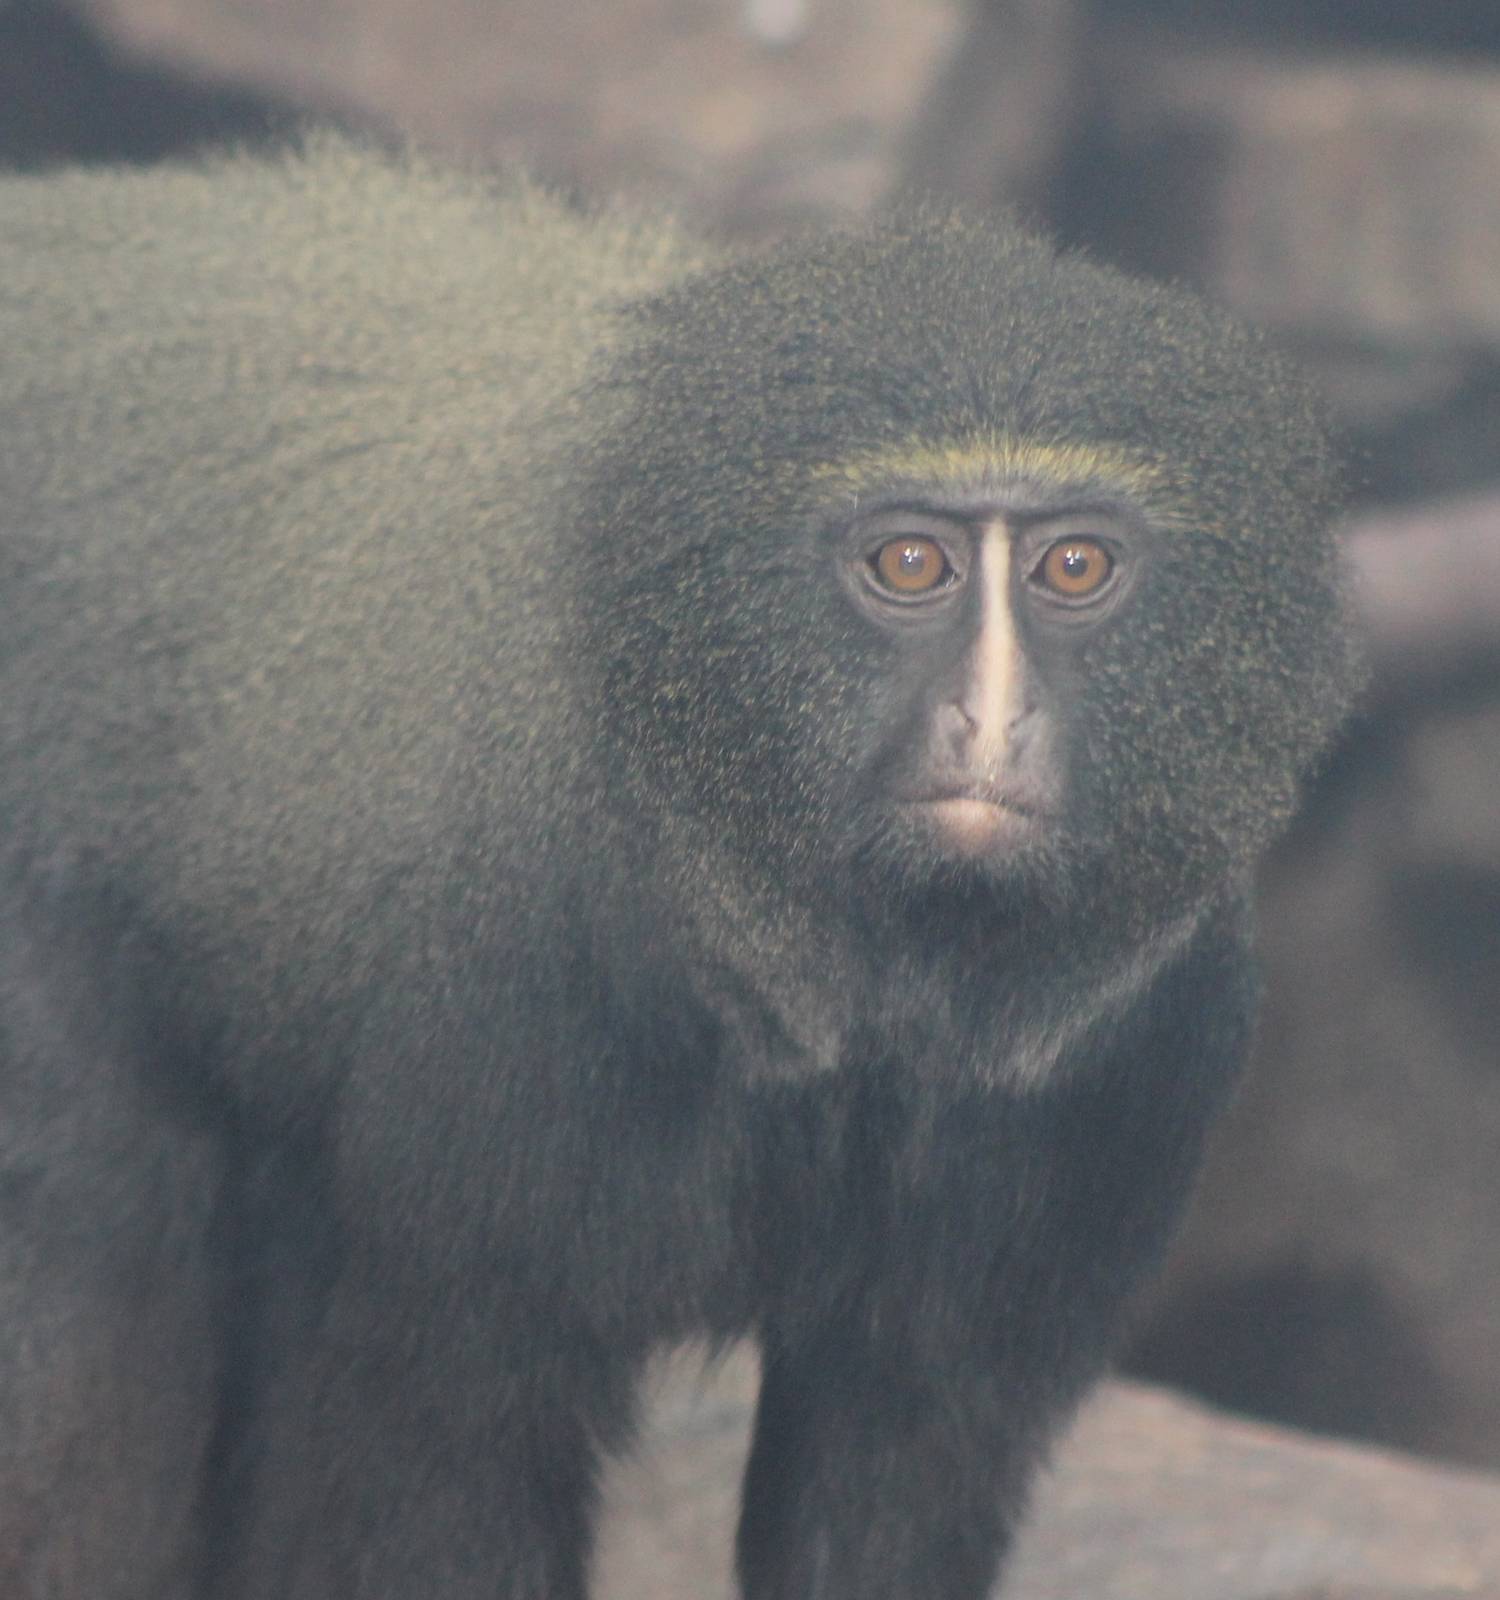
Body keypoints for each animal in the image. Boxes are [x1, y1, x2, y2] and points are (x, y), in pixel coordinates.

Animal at [0, 137, 1357, 1600]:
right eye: (910, 563)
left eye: (1075, 565)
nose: (991, 721)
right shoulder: (493, 1053)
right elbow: (431, 1444)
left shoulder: (1130, 1064)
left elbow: (904, 1444)